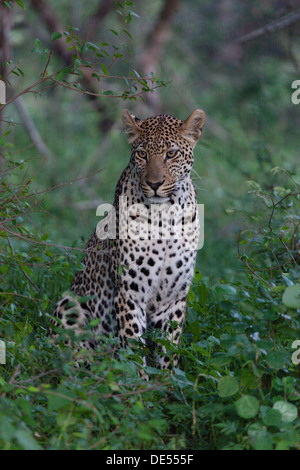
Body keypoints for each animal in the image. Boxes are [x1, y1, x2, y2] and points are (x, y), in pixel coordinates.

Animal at [52, 108, 206, 372]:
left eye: (171, 153)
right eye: (142, 154)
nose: (154, 184)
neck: (165, 216)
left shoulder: (174, 297)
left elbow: (169, 350)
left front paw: (167, 381)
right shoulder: (129, 293)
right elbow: (133, 347)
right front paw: (138, 380)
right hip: (69, 303)